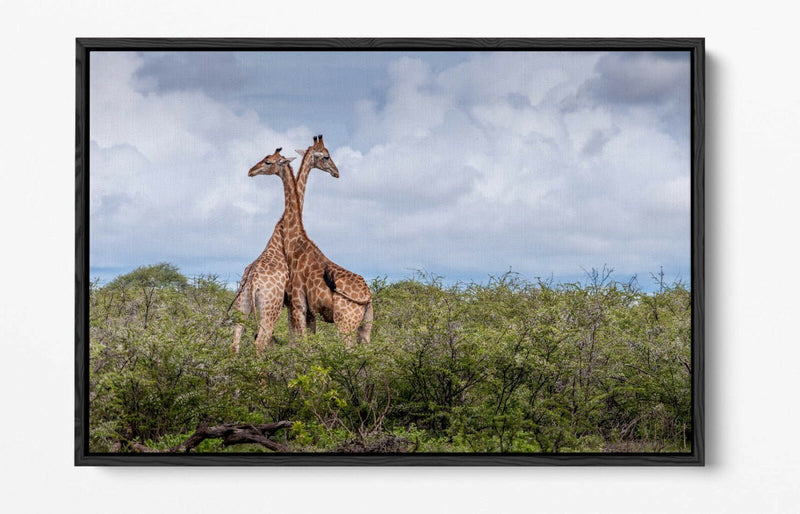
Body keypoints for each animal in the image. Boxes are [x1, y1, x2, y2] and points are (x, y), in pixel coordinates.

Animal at [277, 135, 374, 347]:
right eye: (326, 156)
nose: (336, 172)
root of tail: (368, 295)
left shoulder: (299, 306)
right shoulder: (300, 308)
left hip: (346, 324)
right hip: (364, 326)